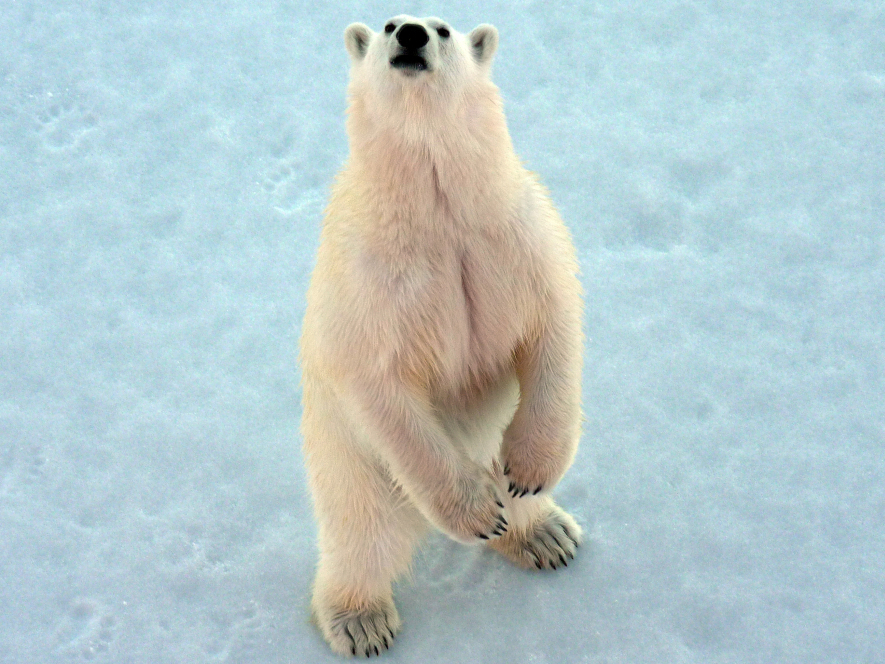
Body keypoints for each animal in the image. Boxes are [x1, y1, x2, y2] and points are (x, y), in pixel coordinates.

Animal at [300, 15, 584, 658]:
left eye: (443, 29)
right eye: (386, 24)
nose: (409, 33)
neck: (440, 215)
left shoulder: (516, 235)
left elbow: (552, 328)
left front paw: (532, 471)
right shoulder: (373, 281)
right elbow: (379, 384)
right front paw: (476, 515)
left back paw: (547, 534)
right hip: (351, 463)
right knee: (361, 533)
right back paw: (361, 620)